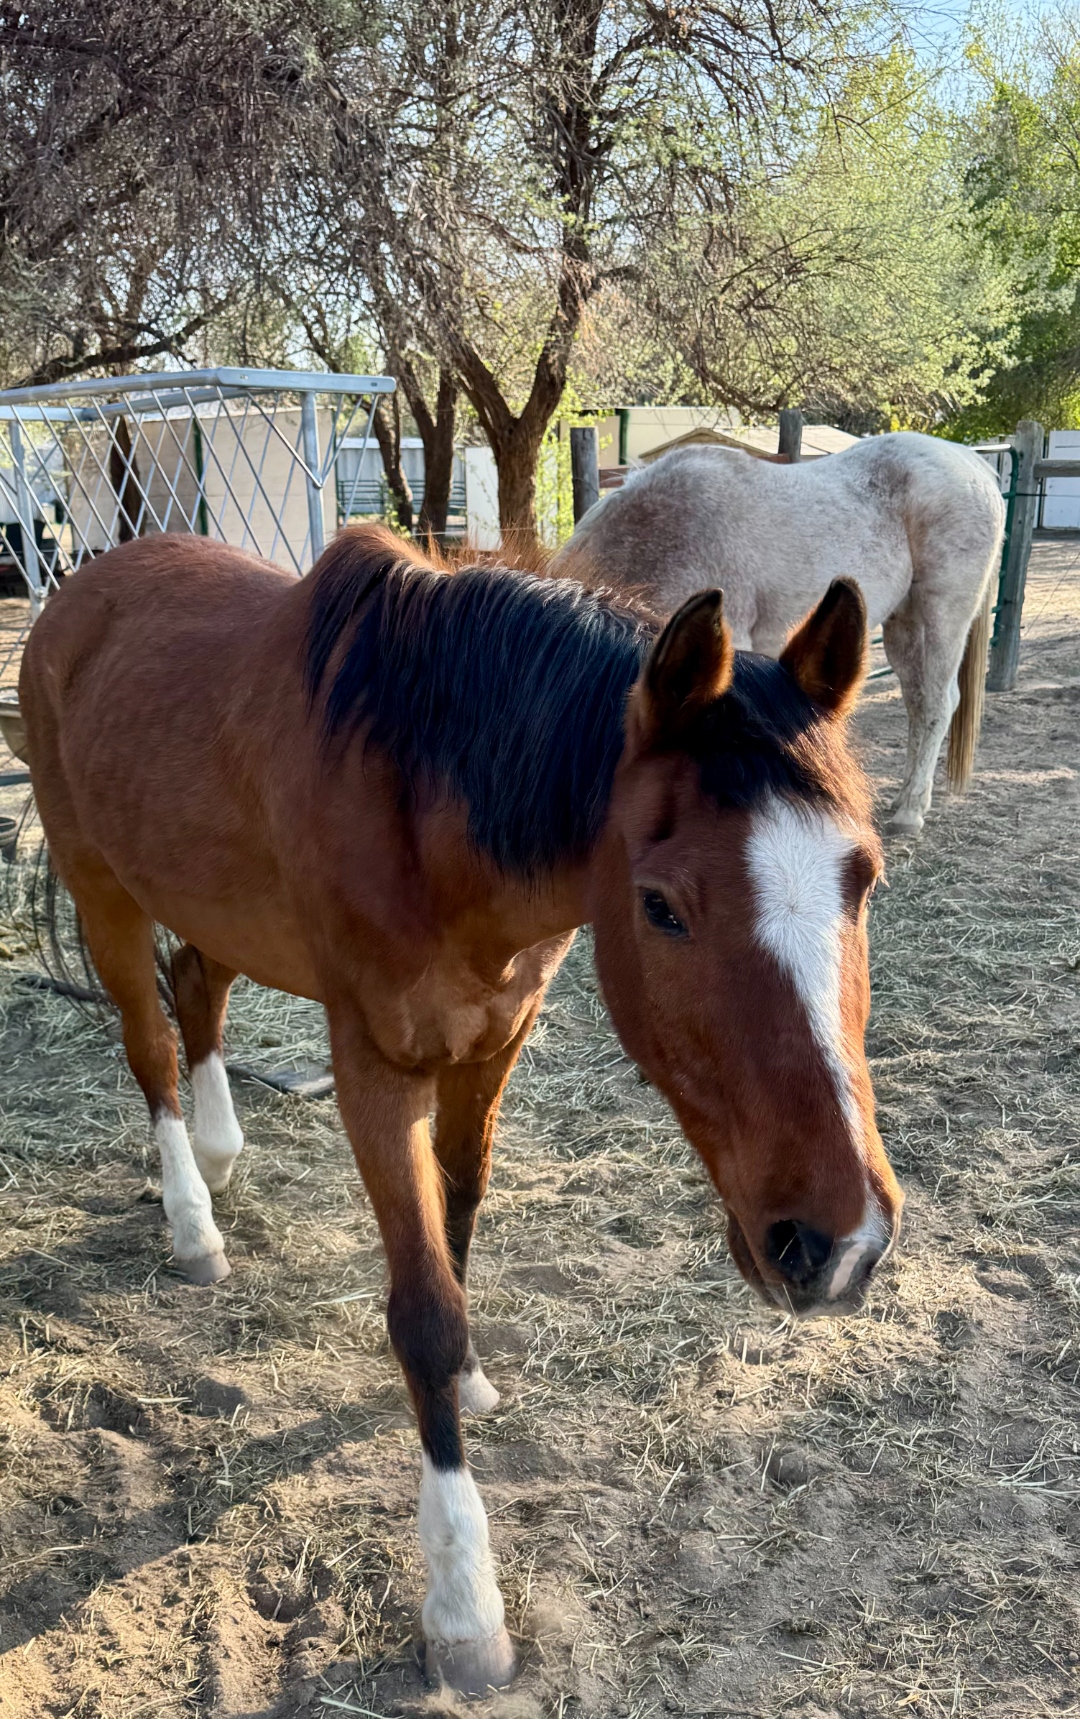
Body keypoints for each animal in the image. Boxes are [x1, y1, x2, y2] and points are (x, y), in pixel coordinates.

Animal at [19, 523, 903, 1695]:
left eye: (866, 879)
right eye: (661, 906)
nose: (839, 1242)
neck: (426, 798)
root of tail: (88, 586)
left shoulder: (493, 1043)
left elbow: (463, 1213)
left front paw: (477, 1376)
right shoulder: (377, 1069)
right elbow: (423, 1310)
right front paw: (463, 1601)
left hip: (212, 901)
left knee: (196, 986)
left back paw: (217, 1153)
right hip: (102, 890)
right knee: (150, 1042)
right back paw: (192, 1222)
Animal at [556, 431, 1007, 837]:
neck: (662, 538)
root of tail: (972, 461)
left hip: (941, 615)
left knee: (936, 703)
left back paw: (910, 813)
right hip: (903, 623)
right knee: (916, 701)